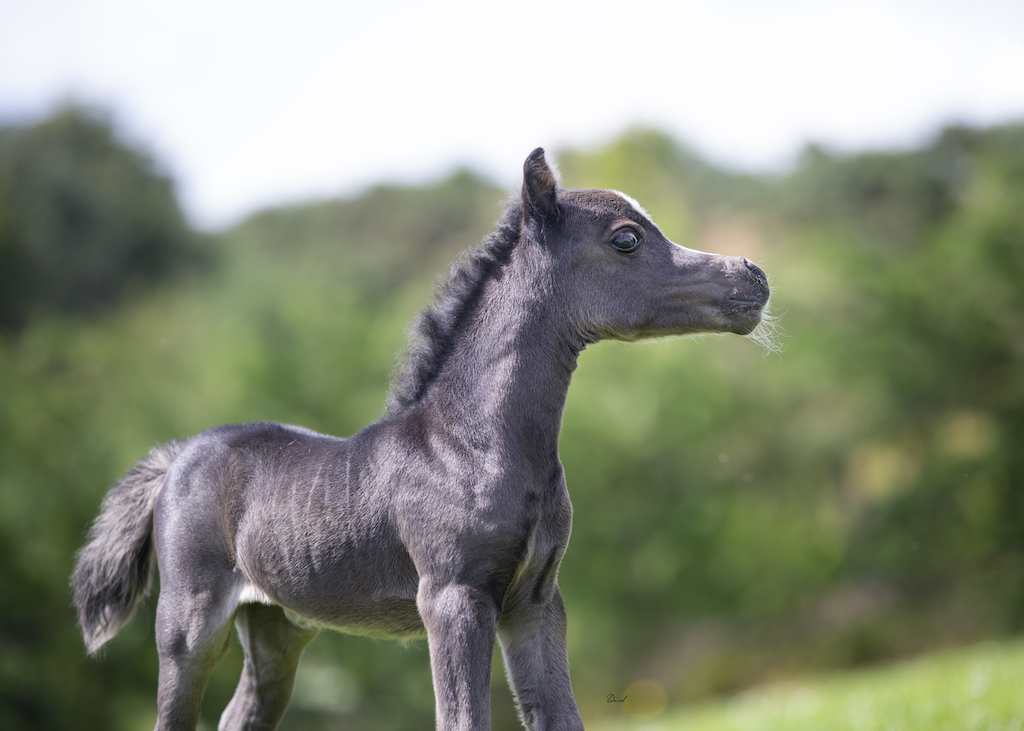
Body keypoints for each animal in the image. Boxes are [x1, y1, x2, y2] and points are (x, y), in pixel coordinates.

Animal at [72, 148, 772, 731]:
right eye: (626, 238)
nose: (753, 275)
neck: (473, 445)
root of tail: (177, 458)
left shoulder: (535, 601)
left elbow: (559, 718)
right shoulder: (452, 600)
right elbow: (461, 720)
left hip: (278, 626)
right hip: (188, 625)